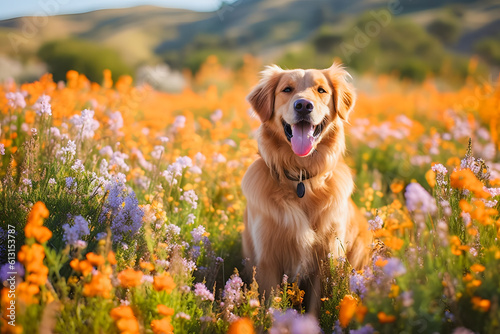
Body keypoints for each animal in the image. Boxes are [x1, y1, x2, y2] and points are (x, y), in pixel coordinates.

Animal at [240, 62, 374, 314]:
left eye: (321, 90)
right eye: (287, 89)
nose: (303, 105)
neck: (301, 179)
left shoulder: (325, 259)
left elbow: (314, 308)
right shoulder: (267, 260)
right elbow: (272, 305)